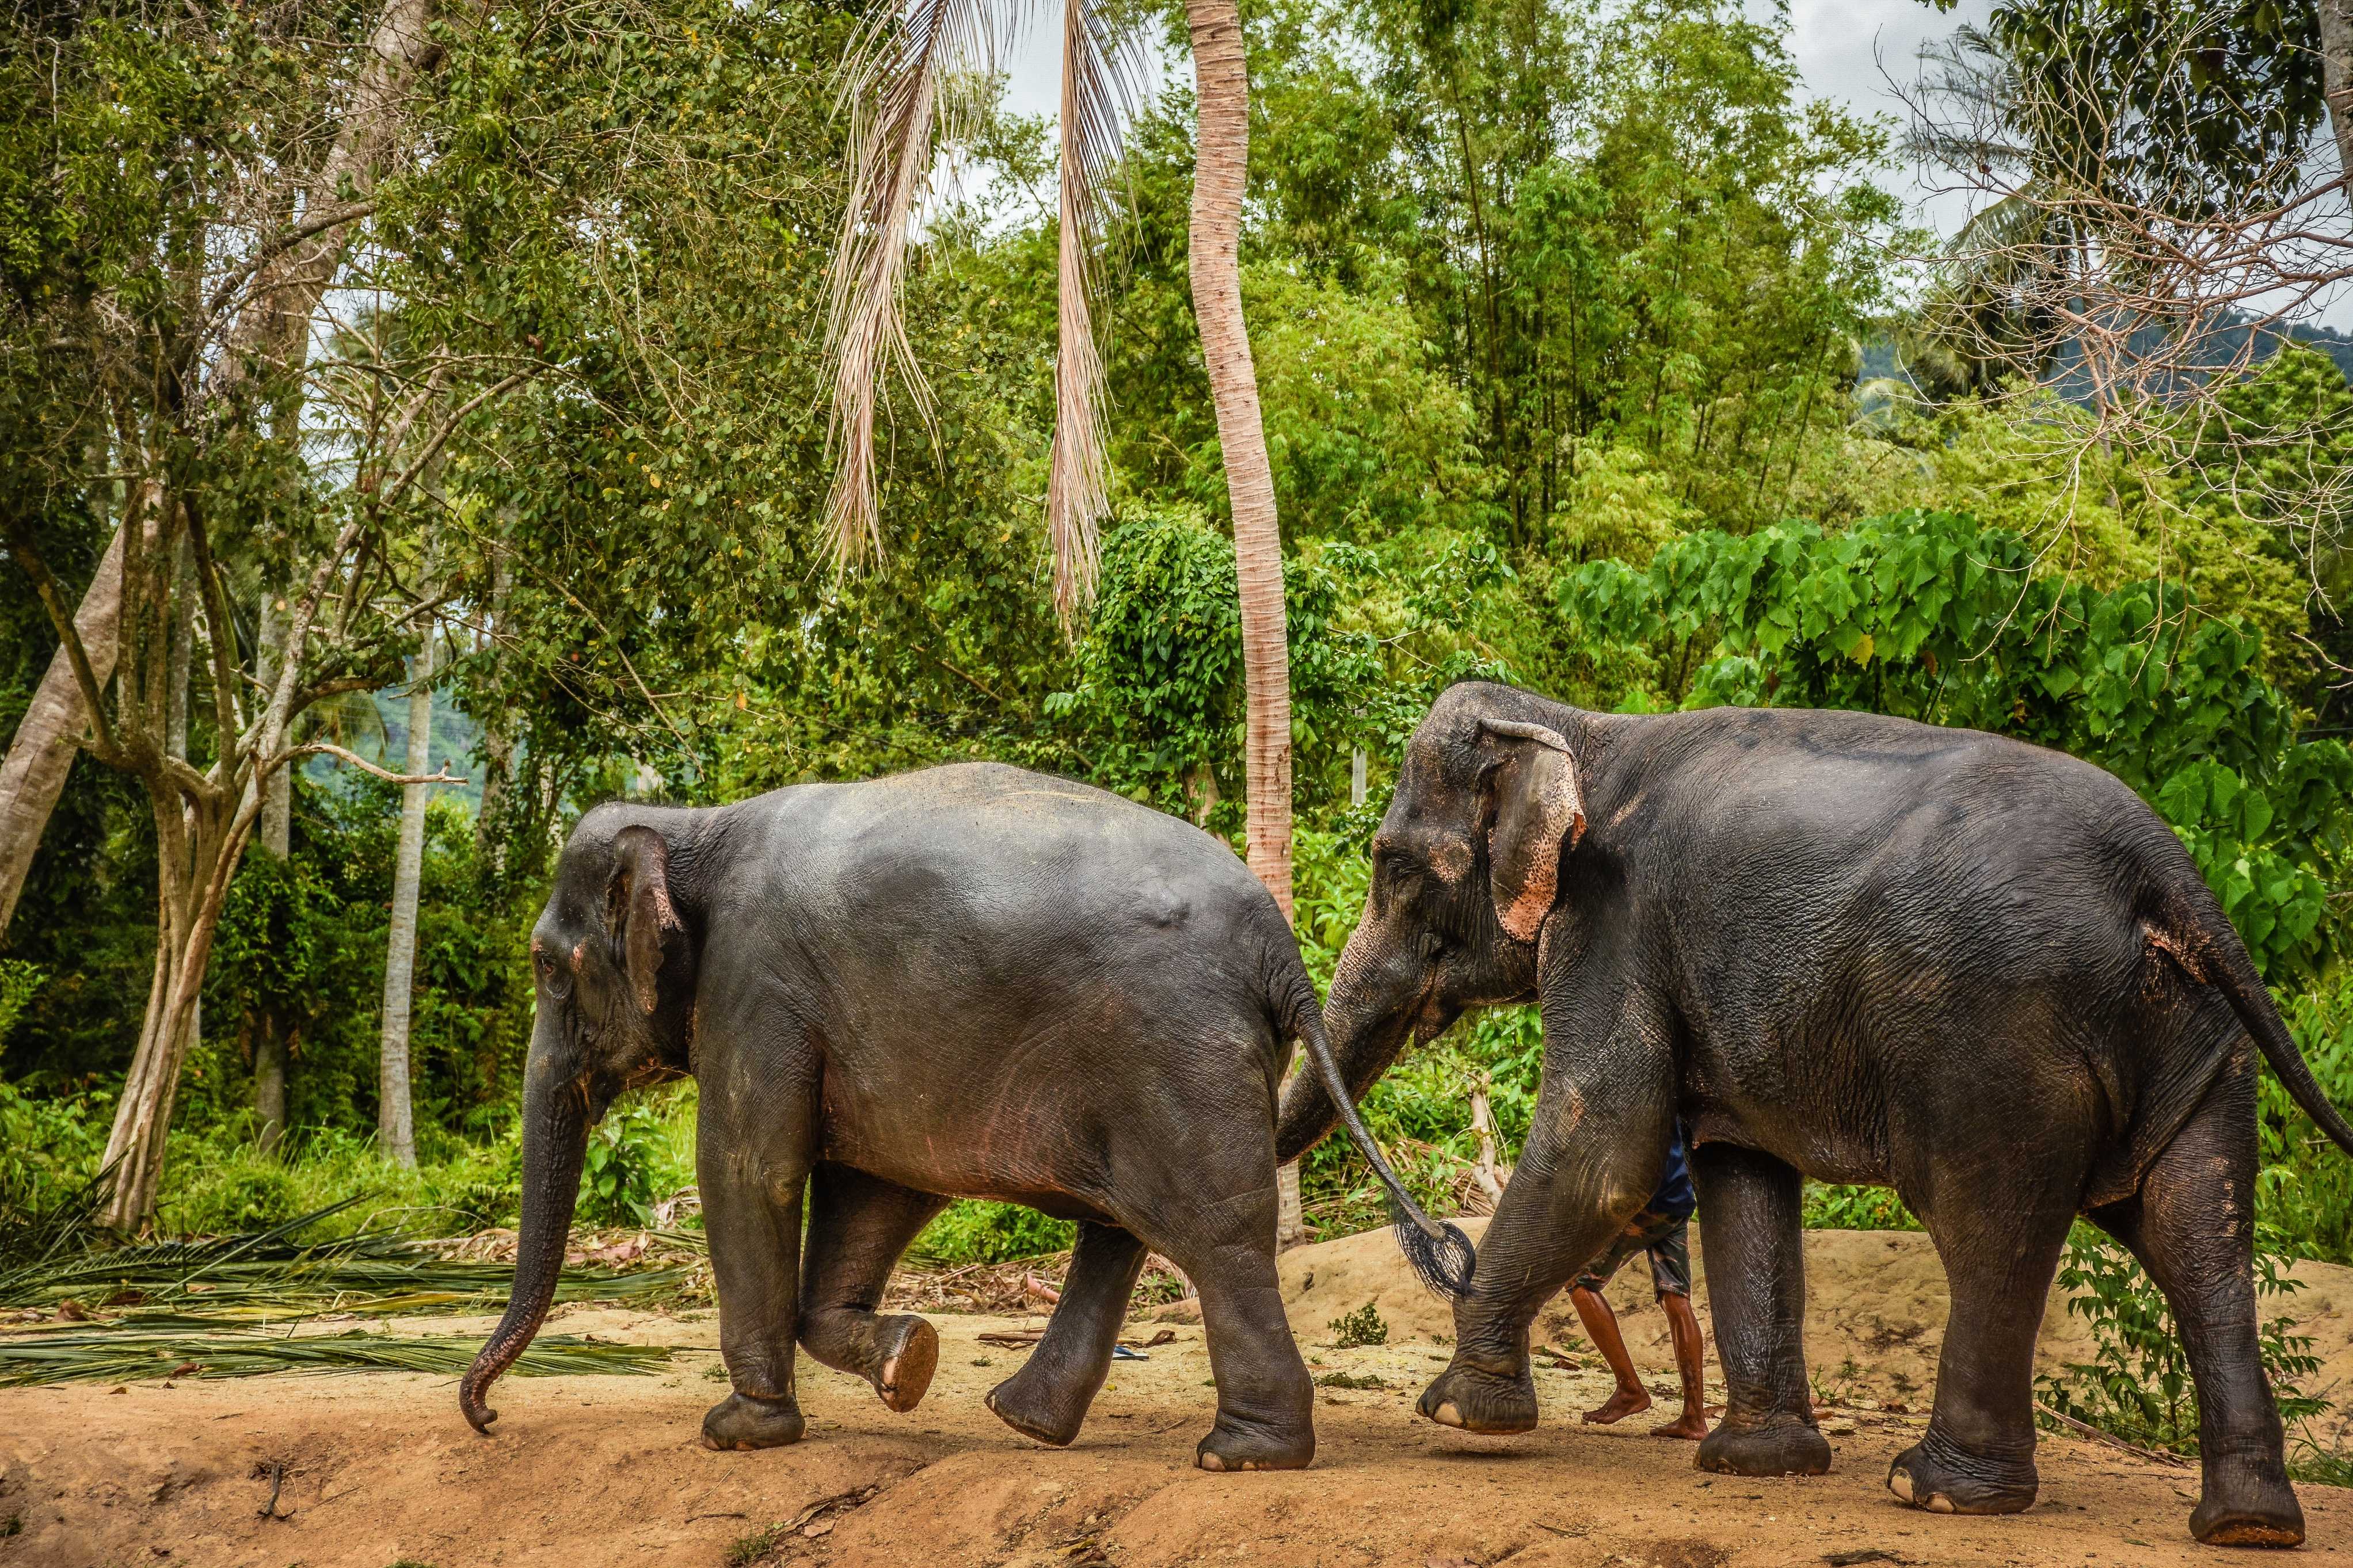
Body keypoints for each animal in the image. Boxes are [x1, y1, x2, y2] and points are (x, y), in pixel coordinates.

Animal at [459, 761, 1449, 1476]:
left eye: (548, 969)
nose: (488, 1415)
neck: (692, 822)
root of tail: (1280, 947)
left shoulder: (757, 985)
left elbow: (749, 1168)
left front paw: (738, 1431)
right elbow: (874, 1190)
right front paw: (908, 1361)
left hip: (1176, 1048)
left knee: (1215, 1231)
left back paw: (1240, 1456)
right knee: (1124, 1226)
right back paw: (1026, 1420)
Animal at [1289, 681, 2352, 1551]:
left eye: (1390, 866)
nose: (1439, 1243)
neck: (1580, 728)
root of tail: (2162, 870)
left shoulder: (1613, 923)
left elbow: (1606, 1143)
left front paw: (1455, 1415)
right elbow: (1736, 1163)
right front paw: (1755, 1464)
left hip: (1996, 1042)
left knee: (1990, 1227)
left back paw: (1935, 1492)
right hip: (2200, 1042)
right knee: (2196, 1233)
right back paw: (2248, 1525)